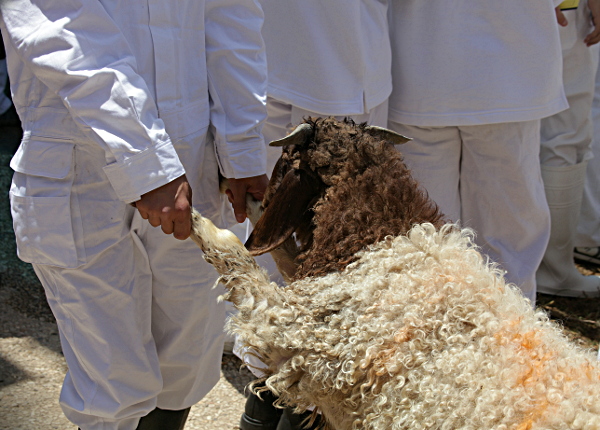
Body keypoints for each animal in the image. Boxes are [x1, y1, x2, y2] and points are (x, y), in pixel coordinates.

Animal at [190, 117, 600, 430]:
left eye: (283, 161)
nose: (226, 179)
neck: (384, 239)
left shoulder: (298, 336)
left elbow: (242, 264)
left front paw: (199, 221)